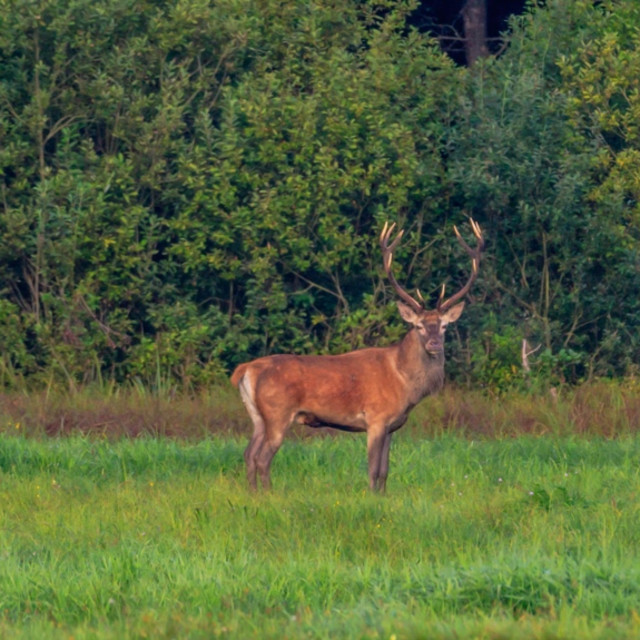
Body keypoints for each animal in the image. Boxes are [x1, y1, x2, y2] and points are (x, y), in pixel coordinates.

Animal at [228, 218, 482, 492]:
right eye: (419, 326)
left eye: (444, 326)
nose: (435, 344)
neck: (405, 382)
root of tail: (247, 369)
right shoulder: (375, 418)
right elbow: (373, 469)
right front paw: (371, 496)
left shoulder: (392, 426)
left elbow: (385, 471)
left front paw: (383, 495)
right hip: (278, 412)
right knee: (263, 458)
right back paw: (268, 494)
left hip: (257, 416)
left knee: (249, 454)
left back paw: (253, 493)